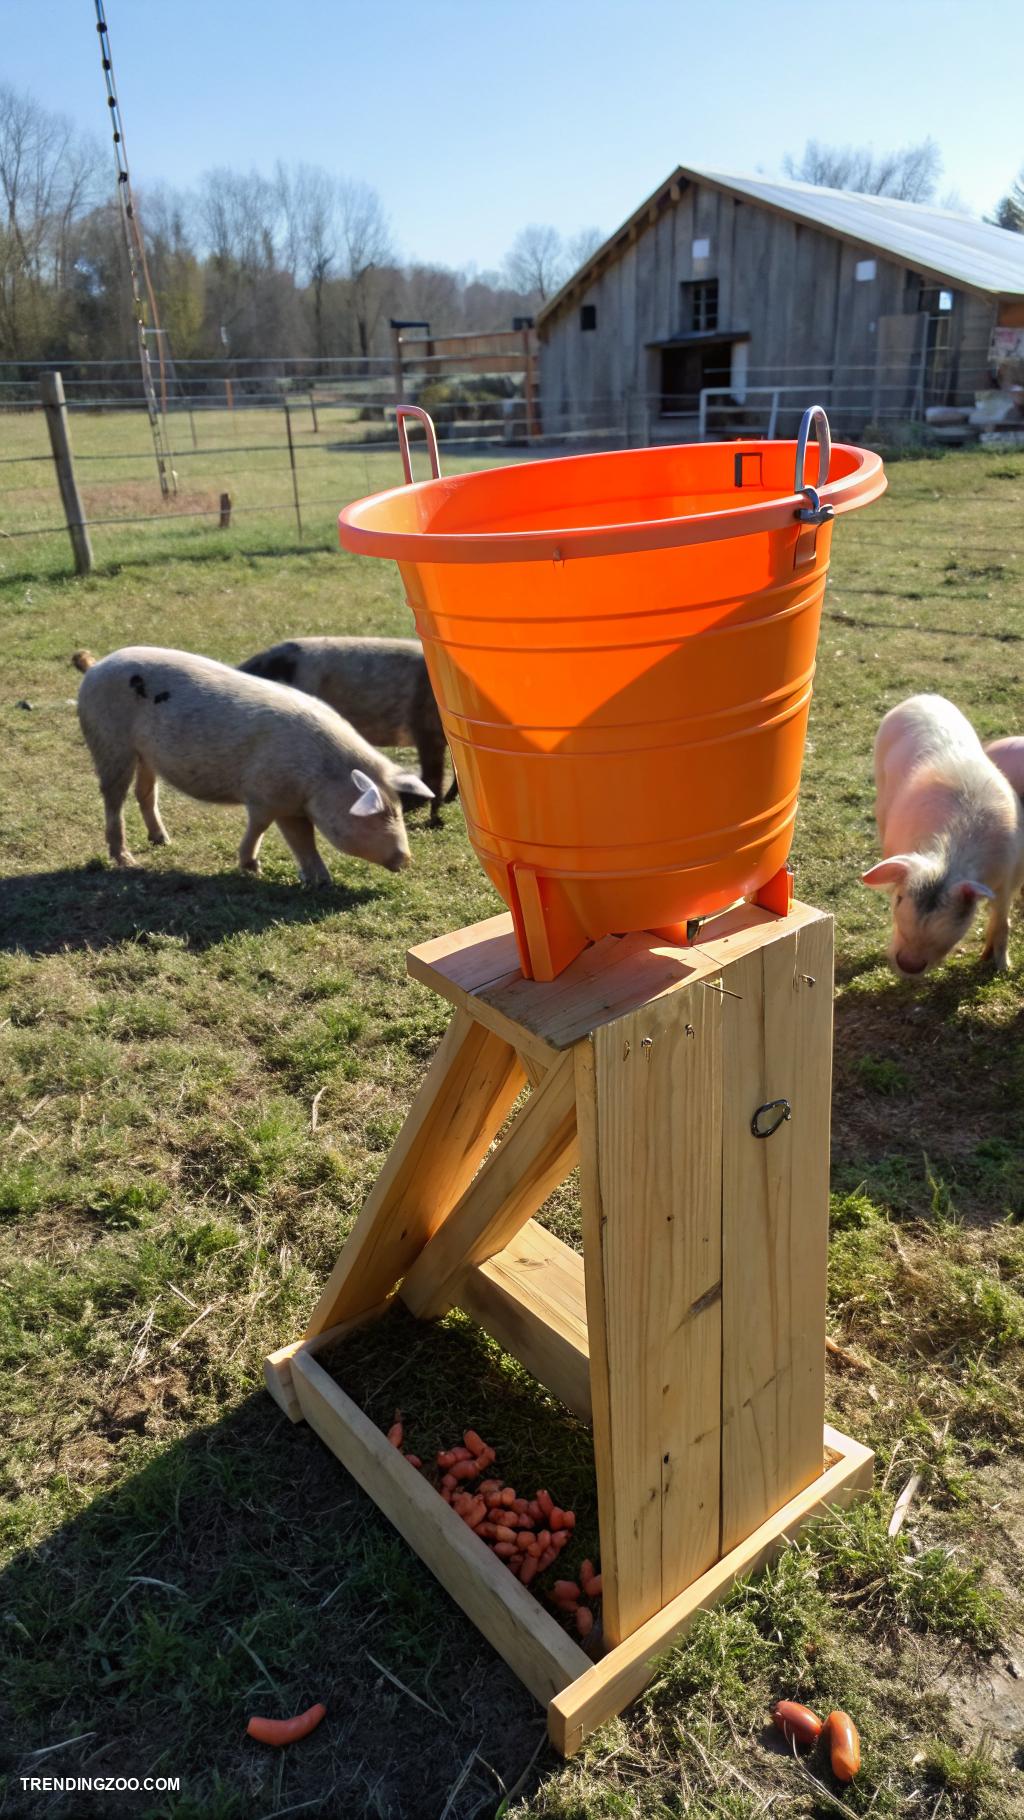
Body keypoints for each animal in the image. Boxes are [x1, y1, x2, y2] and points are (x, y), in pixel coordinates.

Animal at [72, 646, 433, 882]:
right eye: (384, 814)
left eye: (398, 810)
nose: (407, 859)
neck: (322, 775)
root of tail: (95, 667)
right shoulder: (269, 795)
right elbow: (264, 828)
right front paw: (254, 869)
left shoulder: (293, 804)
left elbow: (303, 840)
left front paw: (320, 881)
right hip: (110, 743)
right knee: (113, 799)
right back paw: (127, 861)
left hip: (145, 754)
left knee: (145, 793)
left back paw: (163, 840)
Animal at [862, 693, 1024, 975]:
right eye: (899, 899)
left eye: (960, 914)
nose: (909, 964)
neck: (951, 857)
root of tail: (922, 697)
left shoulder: (1010, 874)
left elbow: (1002, 920)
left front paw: (1000, 967)